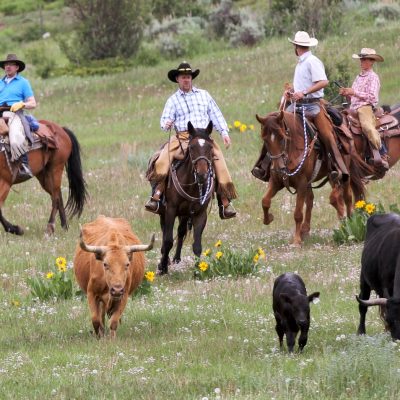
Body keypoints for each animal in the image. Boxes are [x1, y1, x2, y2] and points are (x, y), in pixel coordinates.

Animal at [157, 120, 216, 274]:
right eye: (192, 147)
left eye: (210, 147)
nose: (202, 174)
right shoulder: (170, 210)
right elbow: (168, 240)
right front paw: (163, 267)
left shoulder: (200, 213)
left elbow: (197, 245)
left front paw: (199, 270)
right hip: (164, 212)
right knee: (165, 232)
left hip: (184, 214)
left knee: (181, 231)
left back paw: (177, 258)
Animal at [256, 110, 372, 247]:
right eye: (265, 139)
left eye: (282, 137)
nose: (278, 168)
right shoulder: (276, 182)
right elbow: (265, 201)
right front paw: (268, 218)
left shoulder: (301, 183)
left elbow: (298, 213)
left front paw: (296, 241)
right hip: (326, 179)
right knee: (316, 199)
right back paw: (307, 229)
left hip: (344, 174)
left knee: (347, 197)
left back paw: (349, 222)